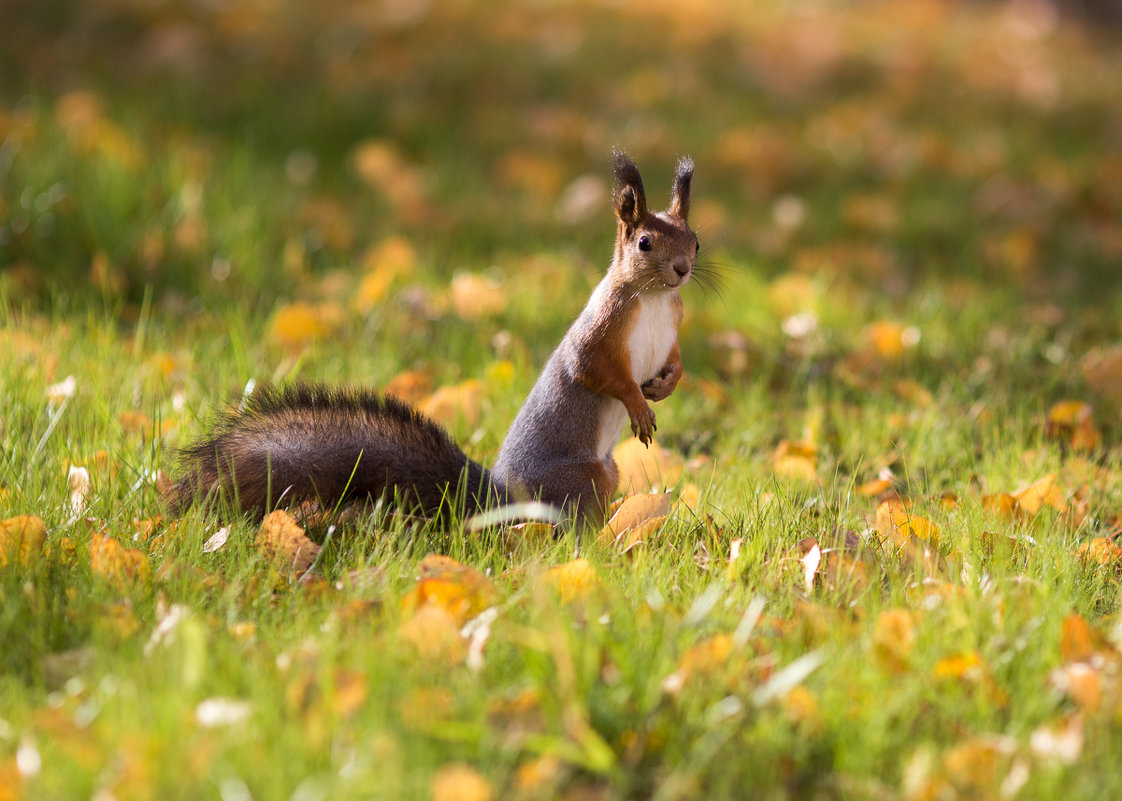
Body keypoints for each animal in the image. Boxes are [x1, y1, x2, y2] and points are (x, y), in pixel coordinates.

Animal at [170, 150, 695, 527]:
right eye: (644, 243)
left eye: (695, 240)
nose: (683, 270)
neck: (652, 299)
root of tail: (495, 498)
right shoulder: (601, 331)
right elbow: (596, 370)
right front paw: (637, 404)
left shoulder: (673, 321)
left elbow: (674, 358)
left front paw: (666, 384)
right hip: (579, 477)